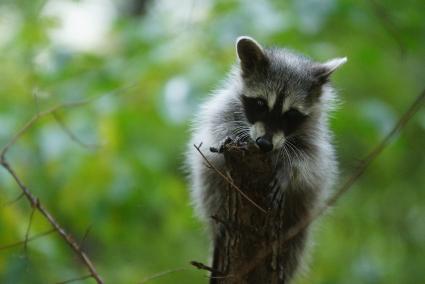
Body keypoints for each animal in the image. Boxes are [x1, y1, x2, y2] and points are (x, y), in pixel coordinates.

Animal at [187, 36, 346, 282]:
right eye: (261, 104)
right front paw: (229, 135)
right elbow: (216, 128)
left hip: (301, 214)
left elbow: (310, 162)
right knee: (208, 185)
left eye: (291, 114)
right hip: (209, 183)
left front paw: (287, 172)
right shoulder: (225, 107)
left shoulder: (315, 137)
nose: (264, 144)